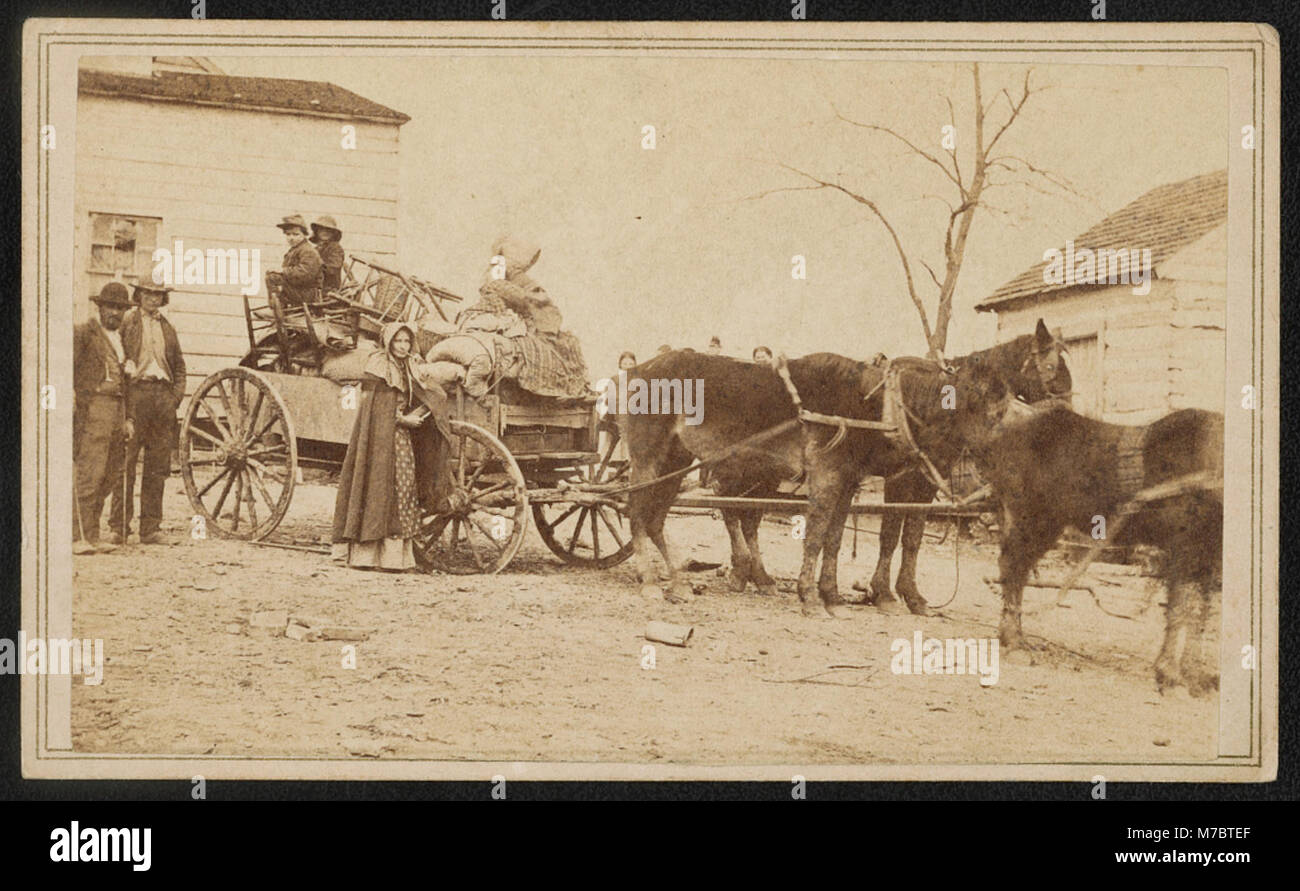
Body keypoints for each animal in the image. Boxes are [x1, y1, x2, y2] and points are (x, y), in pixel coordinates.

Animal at [951, 392, 1222, 697]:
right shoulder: (1181, 546)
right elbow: (1180, 608)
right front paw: (1169, 675)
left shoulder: (1210, 552)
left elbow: (1203, 612)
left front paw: (1195, 675)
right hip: (1032, 519)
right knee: (1013, 567)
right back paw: (1015, 640)